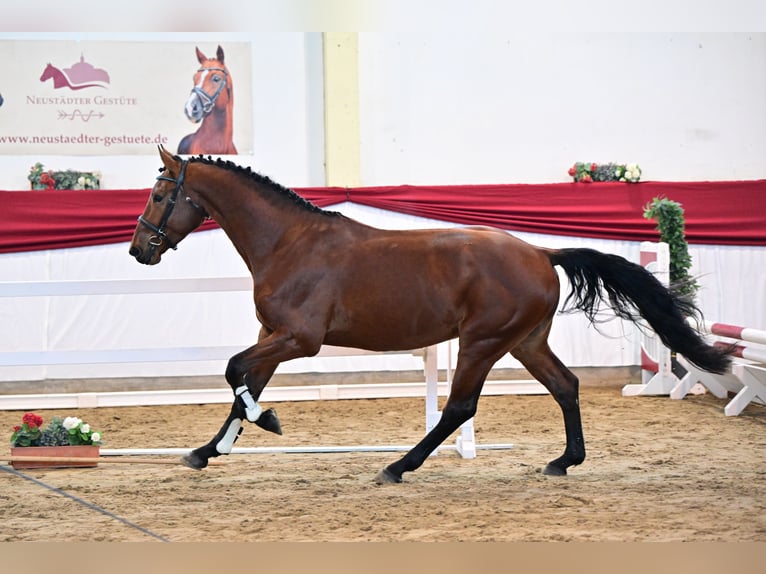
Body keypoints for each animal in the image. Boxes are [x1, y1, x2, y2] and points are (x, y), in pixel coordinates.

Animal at [130, 148, 732, 486]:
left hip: (482, 343)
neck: (290, 243)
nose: (139, 250)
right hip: (525, 342)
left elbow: (234, 373)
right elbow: (243, 383)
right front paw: (207, 452)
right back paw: (564, 461)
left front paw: (267, 422)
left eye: (160, 193)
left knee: (459, 406)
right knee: (565, 385)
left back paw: (398, 467)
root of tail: (542, 253)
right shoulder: (272, 335)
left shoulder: (298, 338)